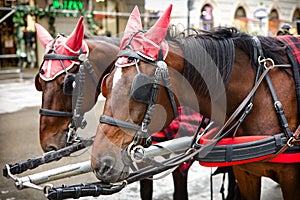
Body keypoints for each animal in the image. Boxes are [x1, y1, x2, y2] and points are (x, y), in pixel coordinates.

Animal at [91, 4, 300, 200]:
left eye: (141, 88)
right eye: (106, 84)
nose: (101, 164)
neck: (259, 94)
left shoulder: (290, 178)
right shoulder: (245, 173)